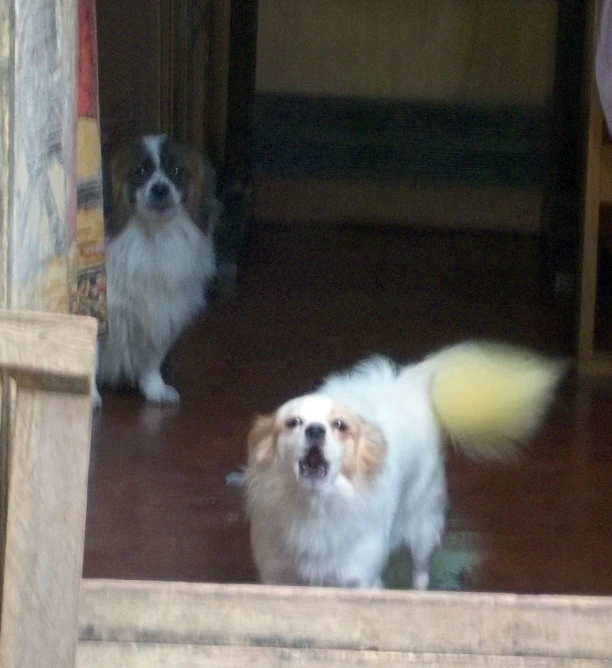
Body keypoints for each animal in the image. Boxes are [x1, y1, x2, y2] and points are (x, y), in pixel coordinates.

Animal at [93, 134, 220, 408]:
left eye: (177, 171)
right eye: (140, 171)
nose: (160, 189)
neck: (154, 237)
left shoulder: (163, 314)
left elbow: (152, 359)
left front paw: (155, 389)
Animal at [244, 344, 564, 588]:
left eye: (340, 426)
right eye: (293, 423)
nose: (314, 430)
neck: (316, 506)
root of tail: (408, 381)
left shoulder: (361, 580)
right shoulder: (277, 577)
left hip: (424, 527)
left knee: (421, 573)